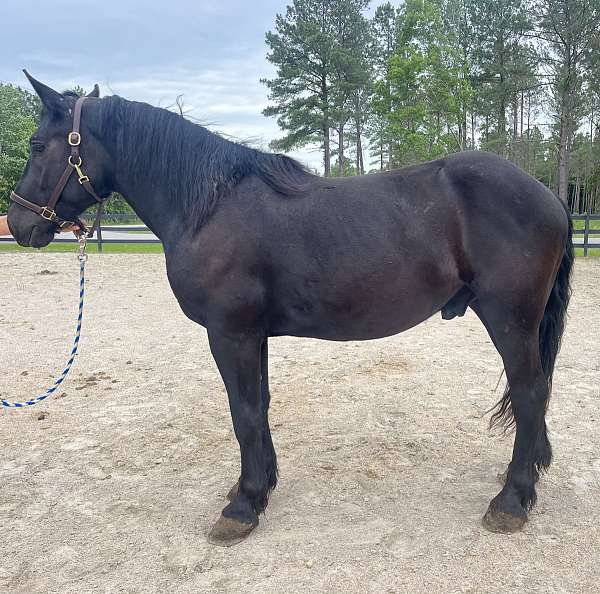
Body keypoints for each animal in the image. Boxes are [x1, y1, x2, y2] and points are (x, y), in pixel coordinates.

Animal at [8, 74, 572, 544]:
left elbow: (243, 413)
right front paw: (260, 487)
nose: (17, 223)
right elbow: (259, 408)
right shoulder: (251, 335)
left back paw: (511, 501)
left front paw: (241, 507)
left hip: (510, 319)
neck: (209, 207)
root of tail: (547, 196)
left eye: (37, 146)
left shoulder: (229, 333)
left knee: (530, 392)